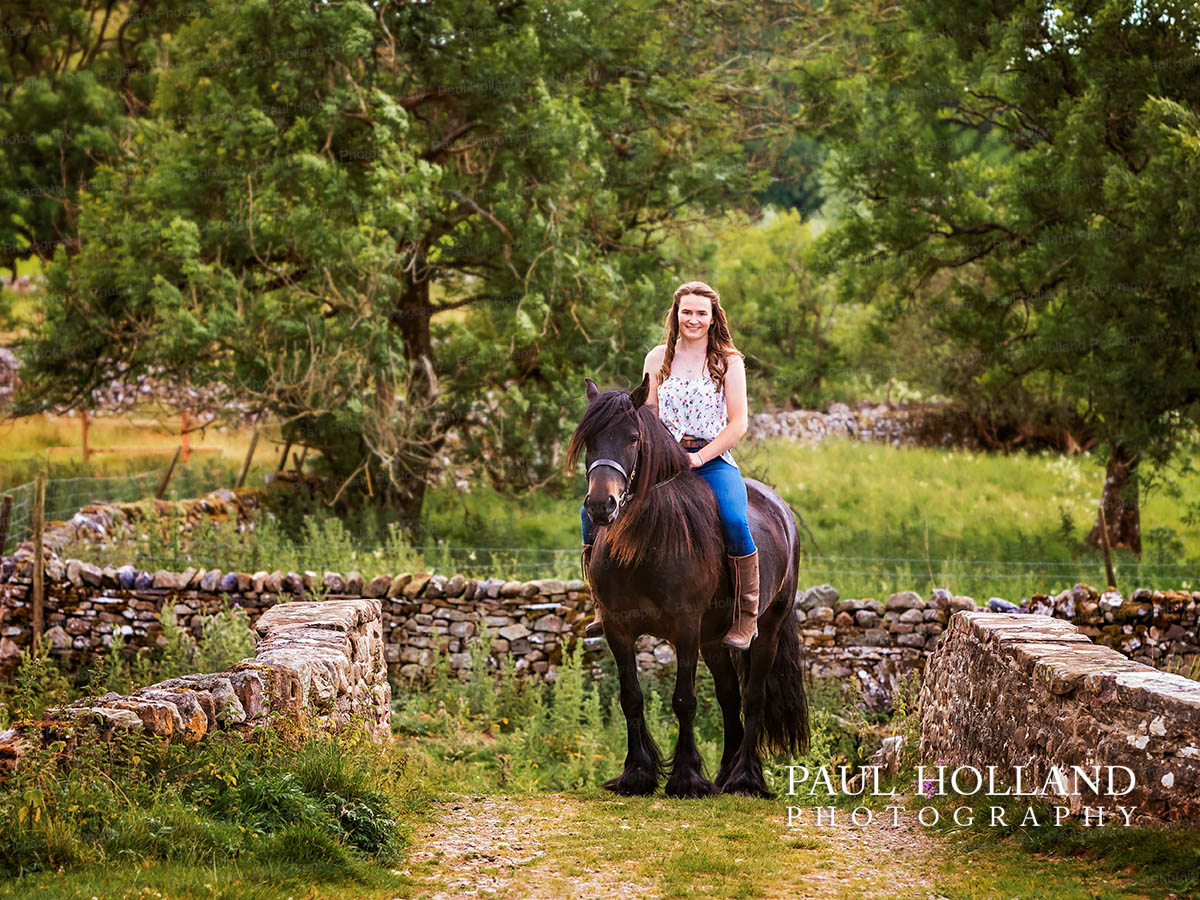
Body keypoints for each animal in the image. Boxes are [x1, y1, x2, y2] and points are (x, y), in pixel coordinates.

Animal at [566, 376, 811, 801]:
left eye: (633, 438)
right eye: (589, 440)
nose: (601, 505)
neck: (645, 544)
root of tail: (781, 509)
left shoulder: (684, 628)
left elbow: (684, 700)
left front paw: (685, 779)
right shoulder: (618, 628)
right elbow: (631, 698)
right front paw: (637, 774)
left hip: (767, 629)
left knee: (753, 696)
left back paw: (745, 779)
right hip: (713, 640)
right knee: (729, 696)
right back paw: (726, 774)